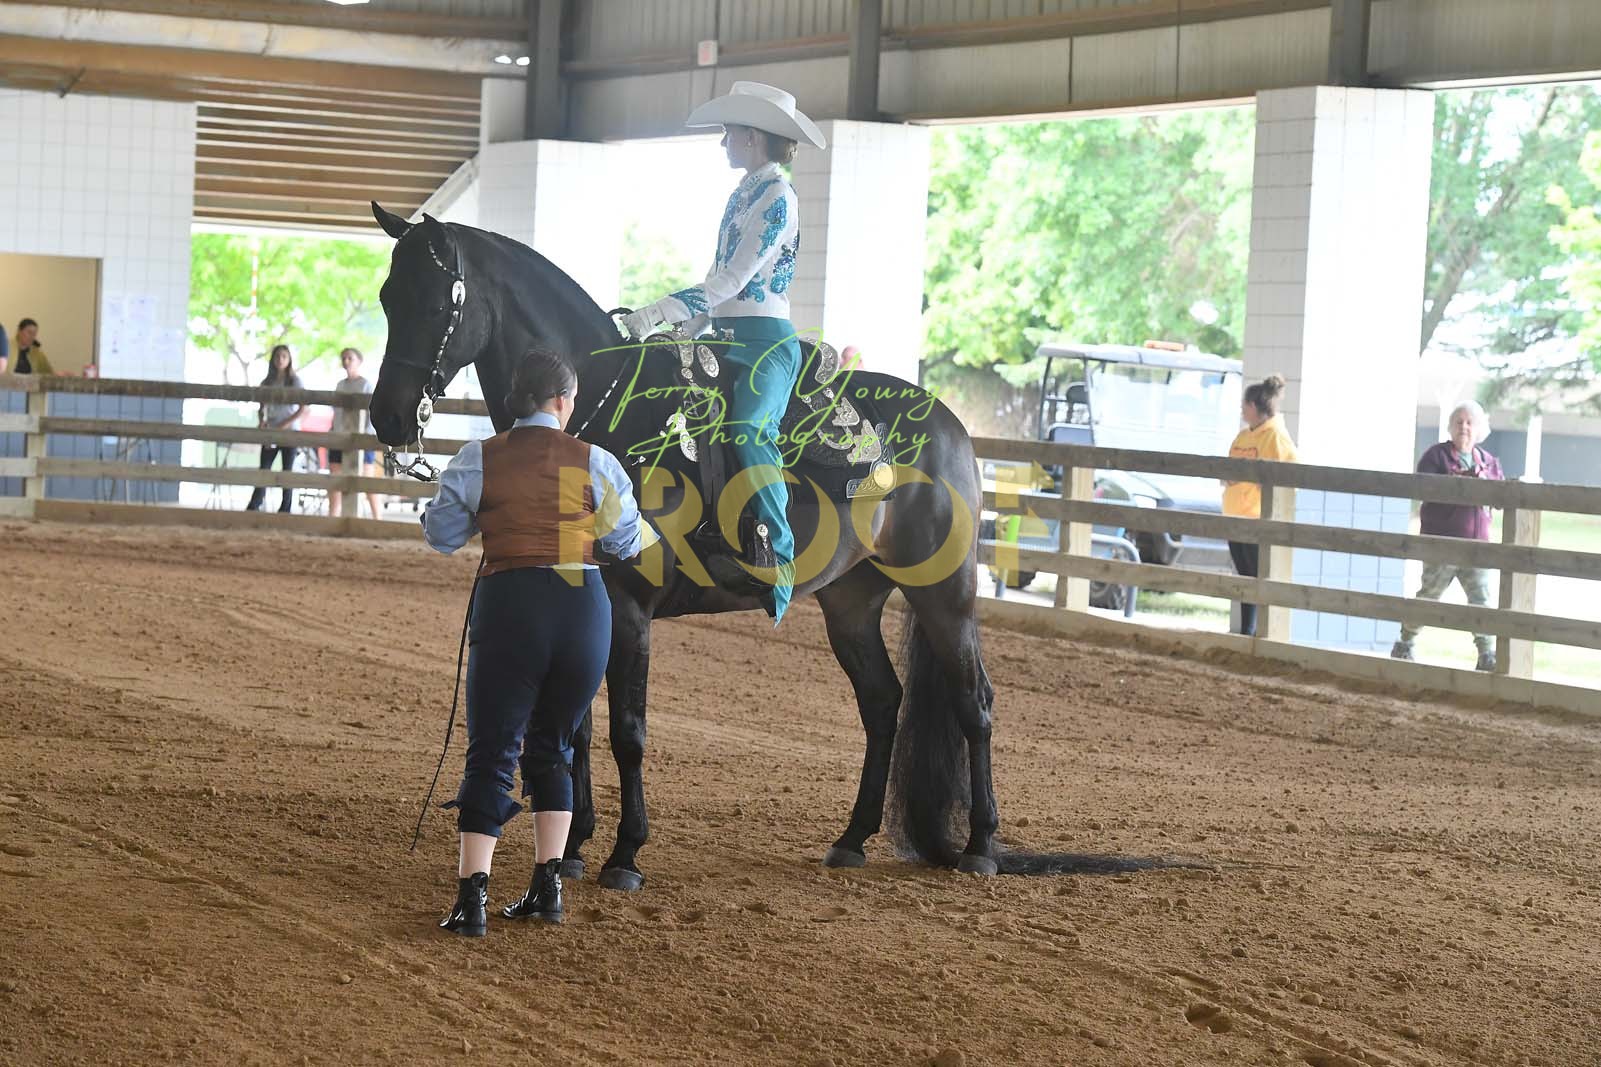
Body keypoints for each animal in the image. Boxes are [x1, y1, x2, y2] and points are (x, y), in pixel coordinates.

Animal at [368, 203, 1161, 889]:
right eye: (384, 296)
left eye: (436, 304)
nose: (387, 417)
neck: (603, 413)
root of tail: (948, 424)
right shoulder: (585, 601)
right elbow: (577, 728)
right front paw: (572, 848)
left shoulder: (630, 607)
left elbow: (627, 729)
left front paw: (625, 854)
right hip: (850, 602)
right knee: (883, 703)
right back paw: (851, 839)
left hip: (946, 593)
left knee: (975, 703)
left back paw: (981, 848)